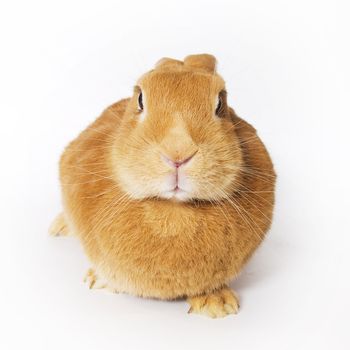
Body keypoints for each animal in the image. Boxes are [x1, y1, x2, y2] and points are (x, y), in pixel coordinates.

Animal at [50, 54, 276, 318]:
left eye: (220, 103)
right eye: (140, 99)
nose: (178, 153)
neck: (173, 210)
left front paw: (218, 305)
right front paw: (98, 280)